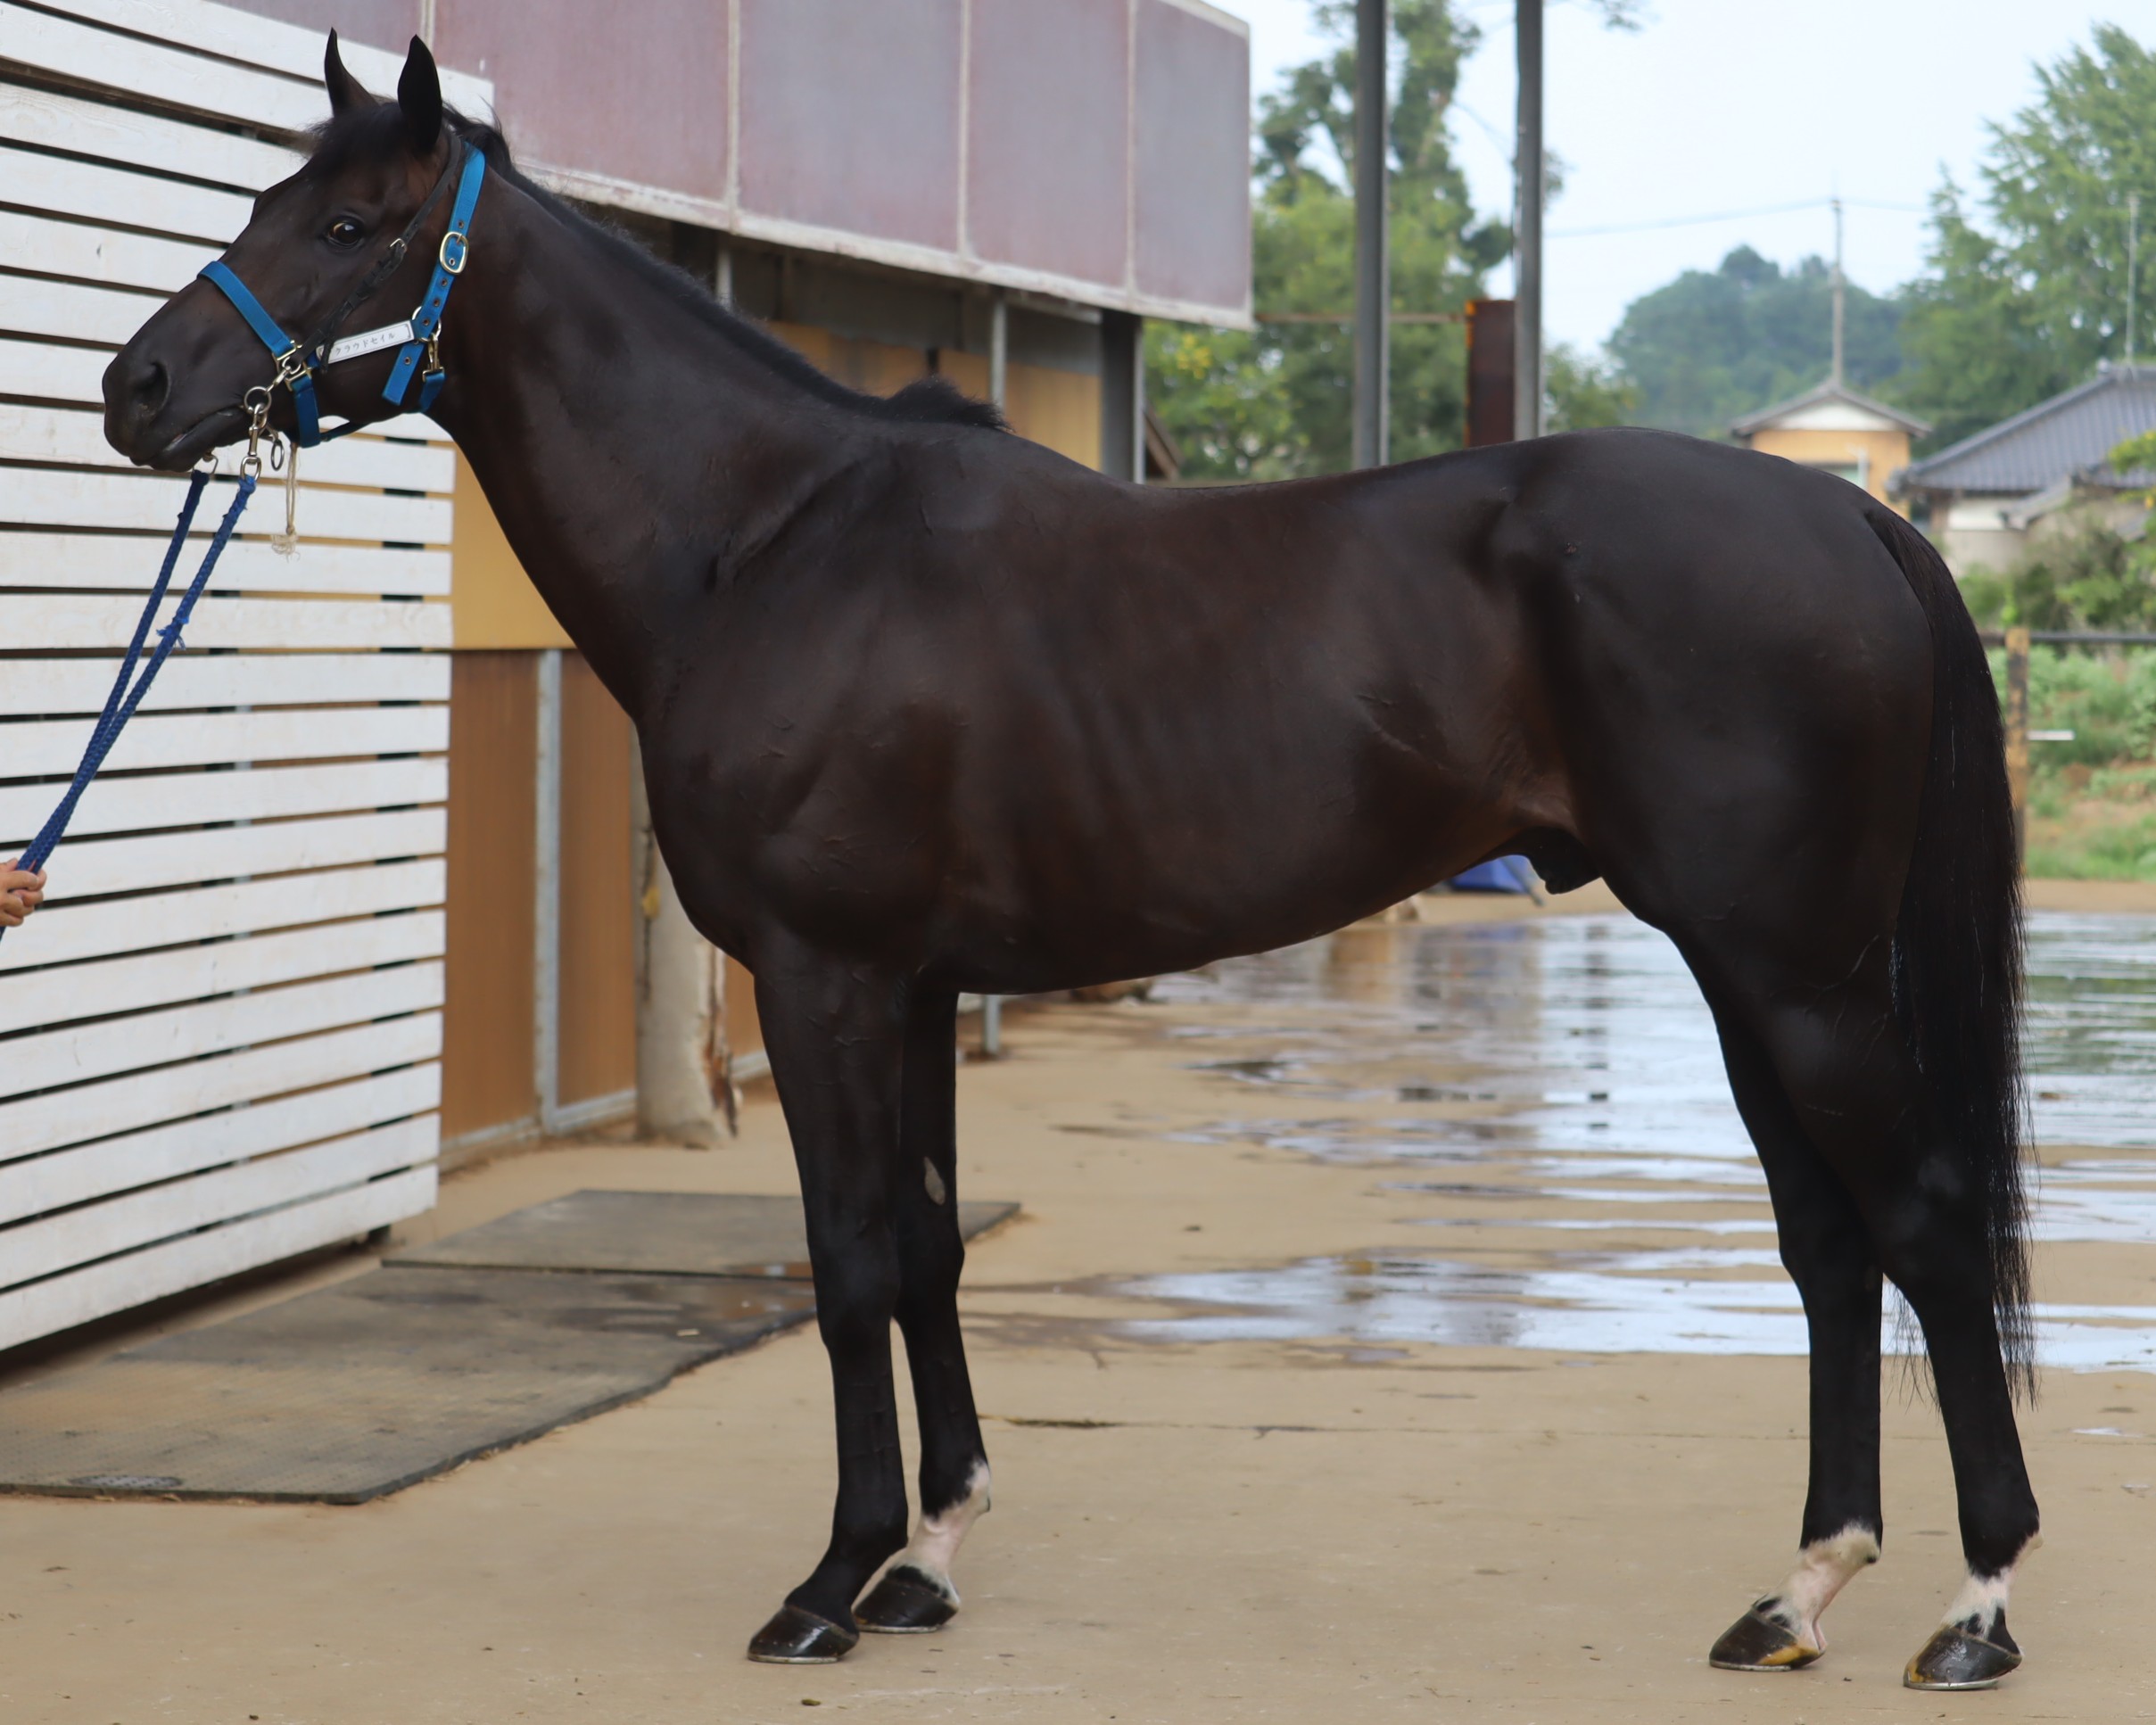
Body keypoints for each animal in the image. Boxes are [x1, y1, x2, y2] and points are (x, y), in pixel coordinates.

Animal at [101, 34, 2036, 1691]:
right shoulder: (912, 984)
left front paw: (831, 1579)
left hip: (1791, 970)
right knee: (1826, 1244)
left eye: (348, 224)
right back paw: (1793, 1590)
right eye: (267, 196)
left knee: (1923, 1223)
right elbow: (931, 1245)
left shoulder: (821, 974)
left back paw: (1972, 1603)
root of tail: (1843, 510)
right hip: (1746, 967)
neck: (764, 540)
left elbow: (848, 1258)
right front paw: (929, 1557)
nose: (137, 387)